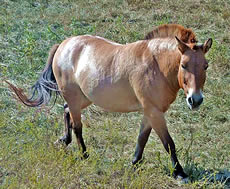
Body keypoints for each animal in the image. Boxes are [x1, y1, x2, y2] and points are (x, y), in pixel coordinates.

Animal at [6, 25, 212, 180]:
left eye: (205, 66)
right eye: (183, 65)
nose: (195, 100)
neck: (156, 65)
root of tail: (64, 44)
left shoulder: (149, 112)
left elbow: (142, 138)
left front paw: (134, 162)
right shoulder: (154, 112)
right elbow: (168, 143)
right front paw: (179, 172)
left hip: (83, 98)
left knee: (67, 112)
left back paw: (65, 139)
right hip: (74, 97)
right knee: (77, 126)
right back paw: (84, 154)